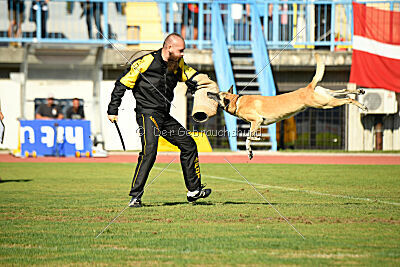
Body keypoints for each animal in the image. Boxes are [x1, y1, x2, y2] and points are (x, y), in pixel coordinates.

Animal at [208, 53, 368, 160]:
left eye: (217, 95)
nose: (209, 92)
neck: (237, 101)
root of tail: (309, 88)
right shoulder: (257, 124)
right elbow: (252, 137)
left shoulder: (257, 121)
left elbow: (248, 138)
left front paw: (250, 151)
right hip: (326, 96)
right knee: (344, 90)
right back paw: (359, 92)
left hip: (325, 104)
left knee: (347, 99)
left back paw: (362, 106)